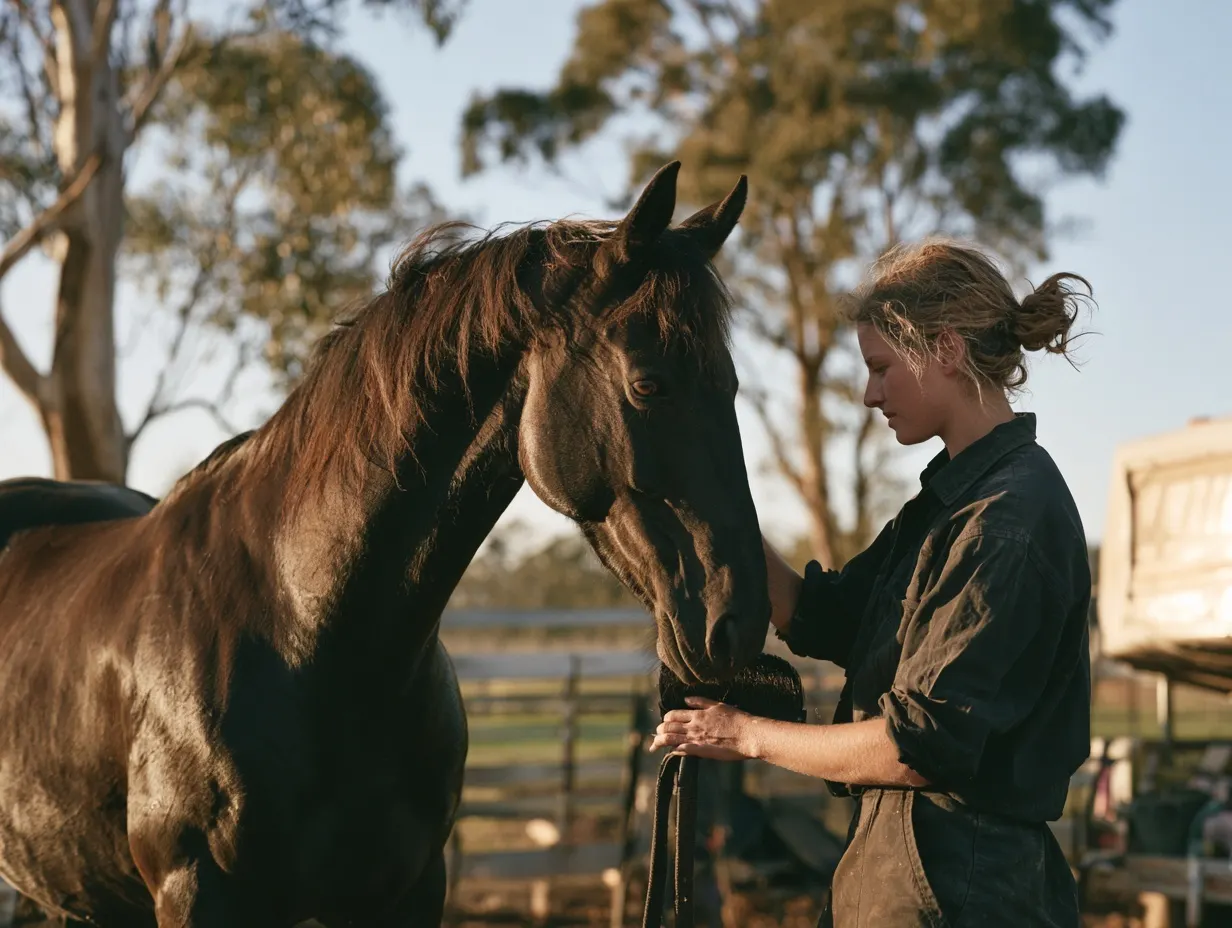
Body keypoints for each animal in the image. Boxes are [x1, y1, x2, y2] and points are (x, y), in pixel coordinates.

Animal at [0, 161, 769, 927]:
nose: (737, 623)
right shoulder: (196, 894)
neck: (301, 631)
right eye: (649, 384)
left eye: (733, 384)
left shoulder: (410, 888)